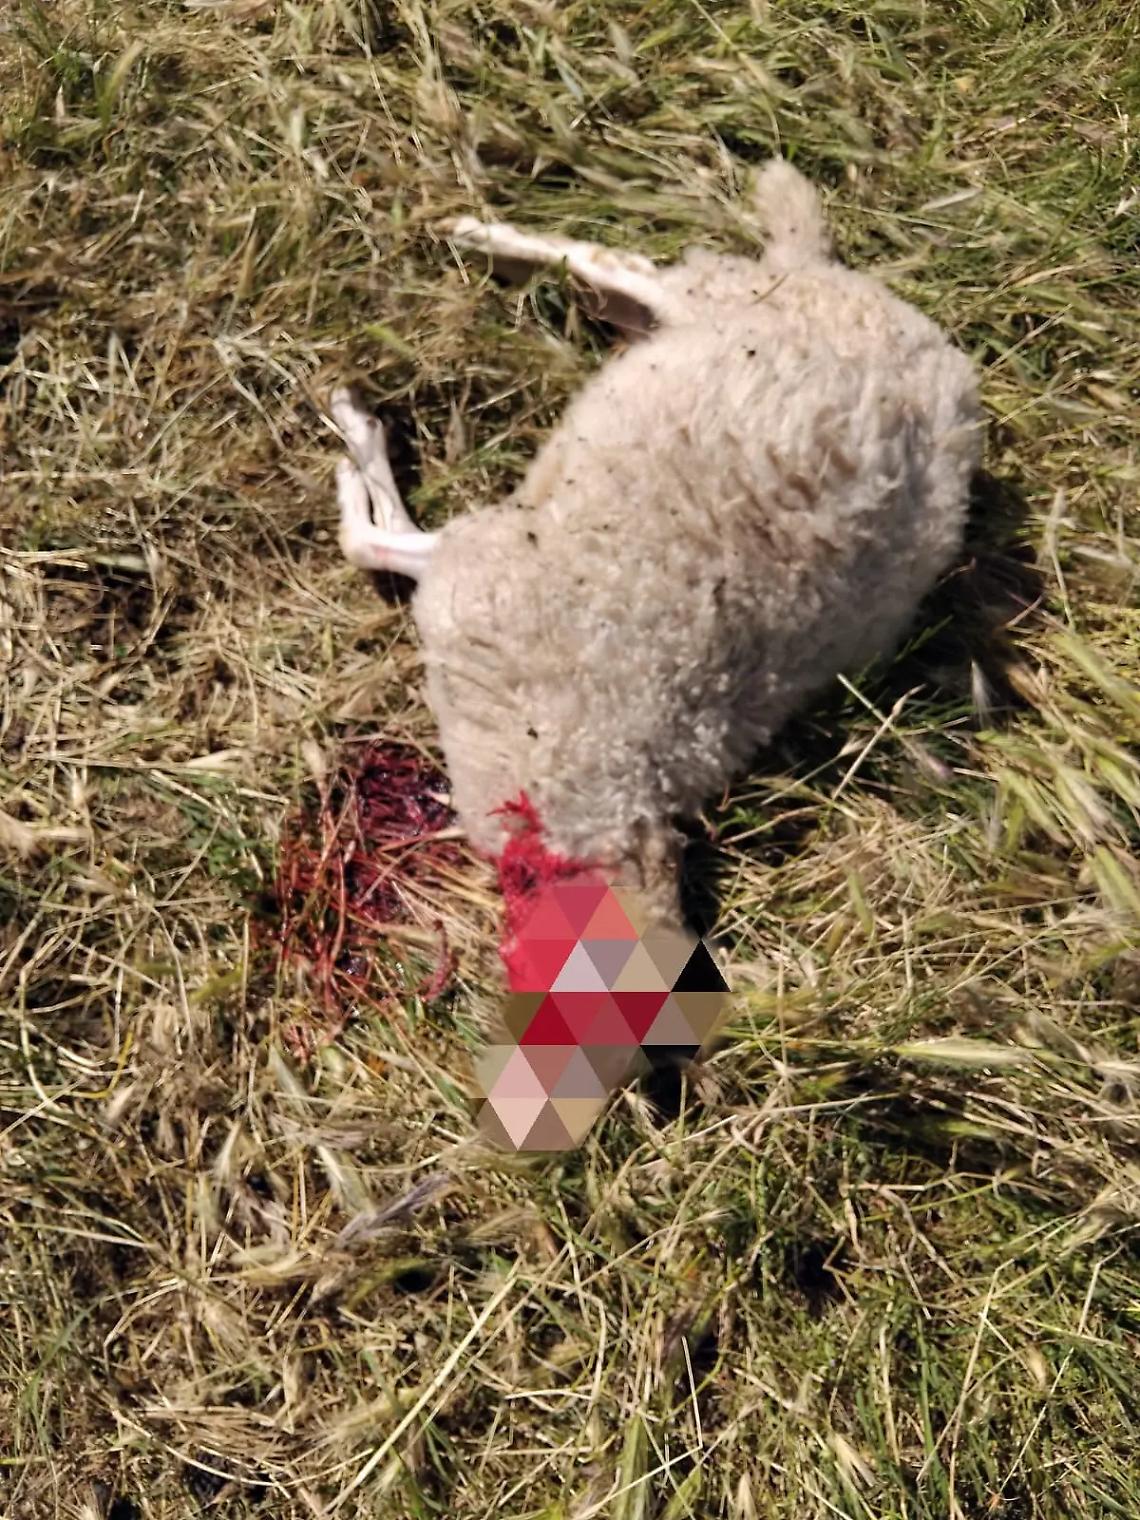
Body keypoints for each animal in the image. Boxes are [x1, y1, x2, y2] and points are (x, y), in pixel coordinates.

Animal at [332, 159, 982, 937]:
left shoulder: (476, 568)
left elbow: (372, 541)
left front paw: (355, 454)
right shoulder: (480, 568)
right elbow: (375, 540)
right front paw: (358, 438)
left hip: (728, 304)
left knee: (627, 278)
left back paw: (487, 251)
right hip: (733, 298)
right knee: (625, 267)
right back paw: (478, 240)